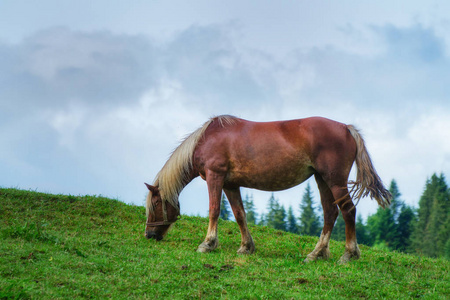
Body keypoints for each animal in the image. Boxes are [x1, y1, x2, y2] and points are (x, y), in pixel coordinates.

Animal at [144, 114, 390, 262]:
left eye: (155, 204)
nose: (149, 234)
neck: (207, 139)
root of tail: (346, 129)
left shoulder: (216, 176)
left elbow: (214, 210)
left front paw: (208, 244)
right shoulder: (231, 184)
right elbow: (240, 214)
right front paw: (246, 247)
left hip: (335, 180)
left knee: (348, 211)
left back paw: (349, 254)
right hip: (322, 180)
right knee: (331, 213)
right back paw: (316, 253)